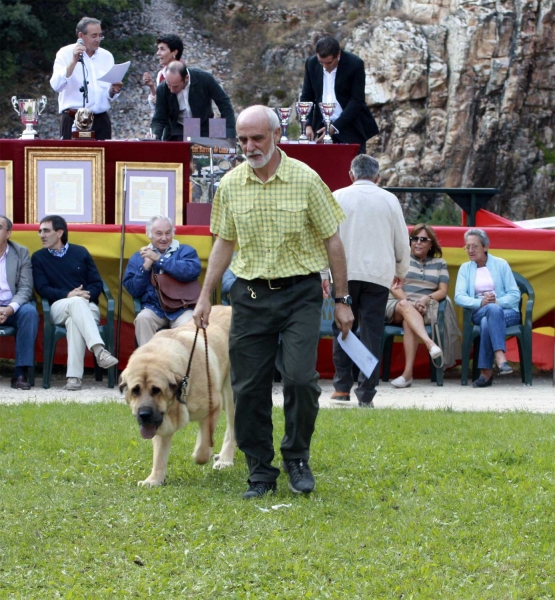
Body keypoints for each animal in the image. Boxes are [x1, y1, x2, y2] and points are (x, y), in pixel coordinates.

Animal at [120, 304, 236, 488]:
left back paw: (225, 459)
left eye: (156, 390)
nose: (144, 414)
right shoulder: (159, 425)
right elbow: (159, 456)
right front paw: (154, 480)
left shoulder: (213, 407)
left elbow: (203, 447)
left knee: (232, 430)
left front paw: (200, 455)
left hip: (231, 397)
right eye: (135, 390)